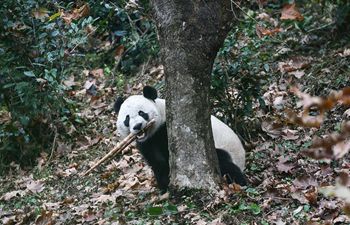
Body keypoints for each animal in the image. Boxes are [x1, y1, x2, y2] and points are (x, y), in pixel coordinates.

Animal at [115, 85, 246, 192]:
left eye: (142, 113)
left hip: (221, 150)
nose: (137, 126)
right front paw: (164, 185)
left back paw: (240, 182)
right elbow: (157, 162)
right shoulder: (147, 143)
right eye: (127, 118)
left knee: (225, 164)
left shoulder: (166, 130)